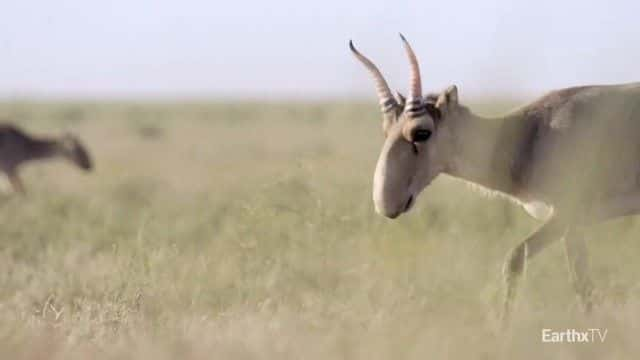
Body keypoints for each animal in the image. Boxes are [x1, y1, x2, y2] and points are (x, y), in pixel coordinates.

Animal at [352, 34, 640, 324]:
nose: (386, 203)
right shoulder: (572, 222)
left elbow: (518, 261)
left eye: (422, 132)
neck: (529, 133)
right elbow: (580, 279)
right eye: (386, 131)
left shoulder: (565, 215)